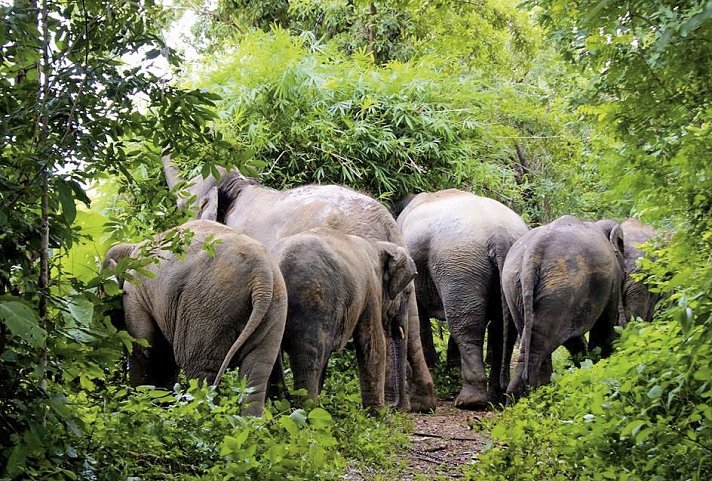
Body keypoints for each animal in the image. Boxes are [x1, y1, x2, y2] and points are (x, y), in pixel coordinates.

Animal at [103, 219, 286, 414]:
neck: (131, 247)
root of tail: (262, 278)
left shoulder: (134, 294)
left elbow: (146, 349)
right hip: (274, 312)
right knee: (256, 373)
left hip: (209, 307)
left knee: (198, 368)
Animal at [272, 227, 418, 410]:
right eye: (407, 293)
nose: (394, 407)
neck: (377, 245)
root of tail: (280, 263)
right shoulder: (371, 289)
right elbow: (372, 343)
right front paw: (377, 415)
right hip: (313, 301)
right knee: (310, 357)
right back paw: (309, 411)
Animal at [394, 188, 528, 408]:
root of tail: (500, 236)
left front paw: (436, 365)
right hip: (508, 272)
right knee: (501, 328)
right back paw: (497, 396)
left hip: (460, 266)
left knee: (465, 326)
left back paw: (470, 402)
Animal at [500, 216, 624, 400]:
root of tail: (532, 253)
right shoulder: (611, 280)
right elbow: (603, 328)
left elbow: (573, 339)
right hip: (560, 288)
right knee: (539, 347)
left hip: (515, 287)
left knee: (533, 342)